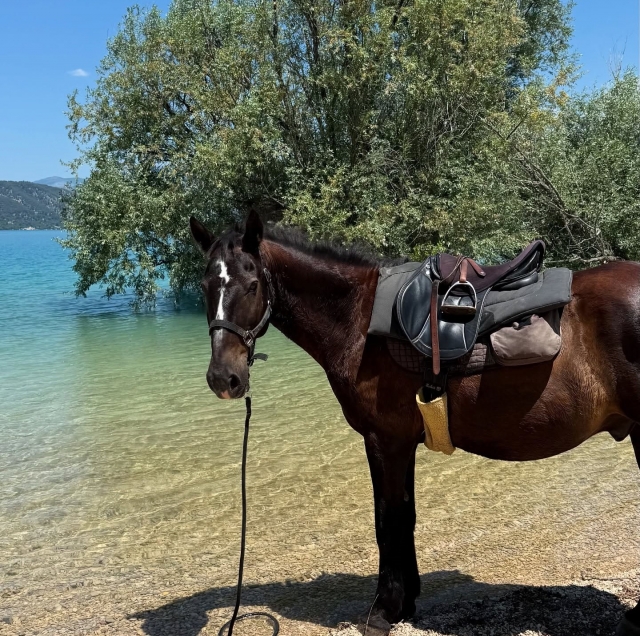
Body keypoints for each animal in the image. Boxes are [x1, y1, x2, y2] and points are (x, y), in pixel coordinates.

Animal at [189, 211, 640, 635]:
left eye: (251, 285)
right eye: (206, 286)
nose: (223, 378)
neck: (358, 316)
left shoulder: (383, 440)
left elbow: (388, 520)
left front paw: (384, 610)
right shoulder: (401, 442)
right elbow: (405, 515)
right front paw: (405, 602)